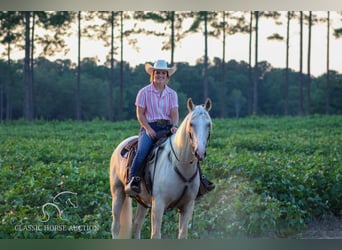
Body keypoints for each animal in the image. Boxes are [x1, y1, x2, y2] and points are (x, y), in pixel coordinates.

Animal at [109, 97, 212, 238]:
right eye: (191, 124)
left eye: (209, 124)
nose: (200, 152)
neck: (180, 164)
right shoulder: (158, 205)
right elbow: (156, 234)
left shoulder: (188, 206)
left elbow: (182, 235)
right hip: (118, 192)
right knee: (116, 226)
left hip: (143, 200)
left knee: (137, 224)